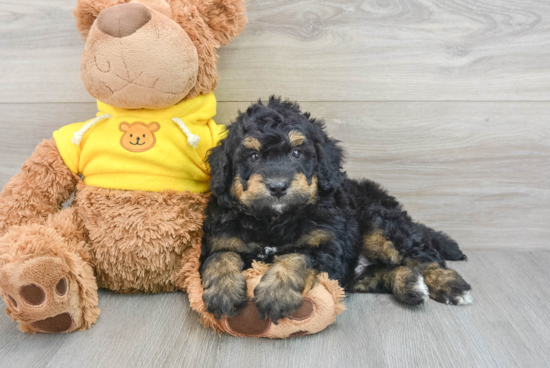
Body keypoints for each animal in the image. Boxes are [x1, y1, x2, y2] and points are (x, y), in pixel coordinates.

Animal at [201, 95, 472, 322]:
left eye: (296, 153)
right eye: (254, 156)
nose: (277, 187)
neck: (274, 220)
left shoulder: (330, 247)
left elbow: (298, 256)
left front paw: (277, 292)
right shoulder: (220, 240)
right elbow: (220, 256)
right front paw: (222, 291)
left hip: (380, 223)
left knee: (423, 256)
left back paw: (451, 286)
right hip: (357, 274)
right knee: (387, 270)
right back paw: (410, 285)